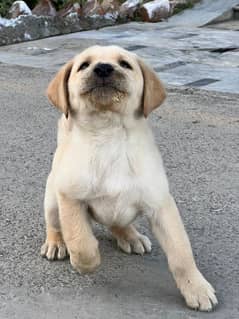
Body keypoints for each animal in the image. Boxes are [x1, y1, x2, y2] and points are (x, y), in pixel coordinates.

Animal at [40, 45, 217, 312]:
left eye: (124, 64)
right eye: (84, 65)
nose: (103, 68)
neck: (109, 135)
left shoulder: (161, 204)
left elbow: (181, 253)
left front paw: (196, 288)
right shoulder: (70, 197)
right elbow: (81, 242)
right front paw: (86, 264)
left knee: (118, 224)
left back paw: (132, 237)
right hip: (52, 200)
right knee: (55, 225)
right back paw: (56, 243)